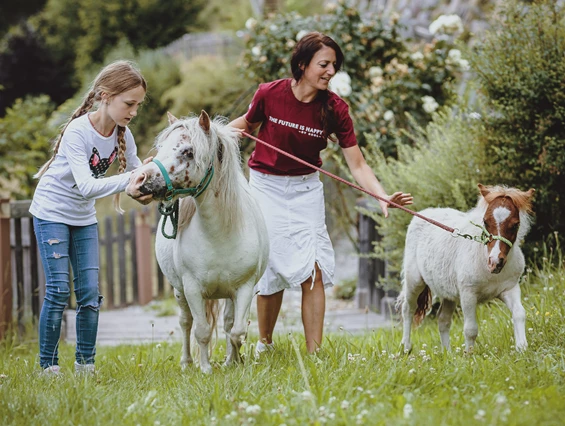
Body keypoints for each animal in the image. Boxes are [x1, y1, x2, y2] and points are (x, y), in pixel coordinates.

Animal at [396, 183, 532, 352]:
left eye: (515, 225)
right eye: (485, 221)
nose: (495, 262)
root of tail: (421, 214)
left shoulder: (509, 288)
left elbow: (519, 313)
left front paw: (522, 349)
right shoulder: (468, 294)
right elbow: (470, 329)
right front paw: (469, 355)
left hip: (448, 292)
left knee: (443, 319)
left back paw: (447, 353)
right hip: (414, 281)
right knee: (408, 309)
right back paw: (406, 348)